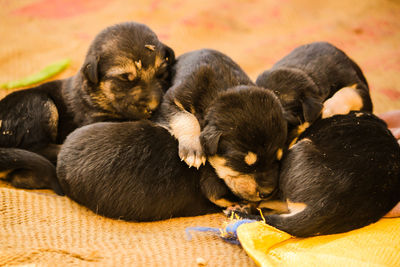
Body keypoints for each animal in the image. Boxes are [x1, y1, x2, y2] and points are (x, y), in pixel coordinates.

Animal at [0, 21, 175, 195]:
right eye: (125, 78)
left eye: (161, 73)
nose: (154, 107)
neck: (99, 94)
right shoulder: (94, 119)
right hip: (38, 104)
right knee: (37, 147)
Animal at [156, 49, 288, 205]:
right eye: (243, 163)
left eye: (277, 159)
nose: (268, 193)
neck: (221, 89)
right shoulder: (170, 100)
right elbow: (186, 118)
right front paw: (193, 151)